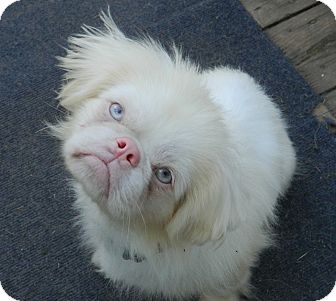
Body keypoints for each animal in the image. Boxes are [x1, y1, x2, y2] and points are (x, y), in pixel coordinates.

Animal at [53, 12, 296, 300]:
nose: (127, 149)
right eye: (116, 110)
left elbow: (221, 290)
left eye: (164, 175)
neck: (134, 236)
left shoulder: (230, 273)